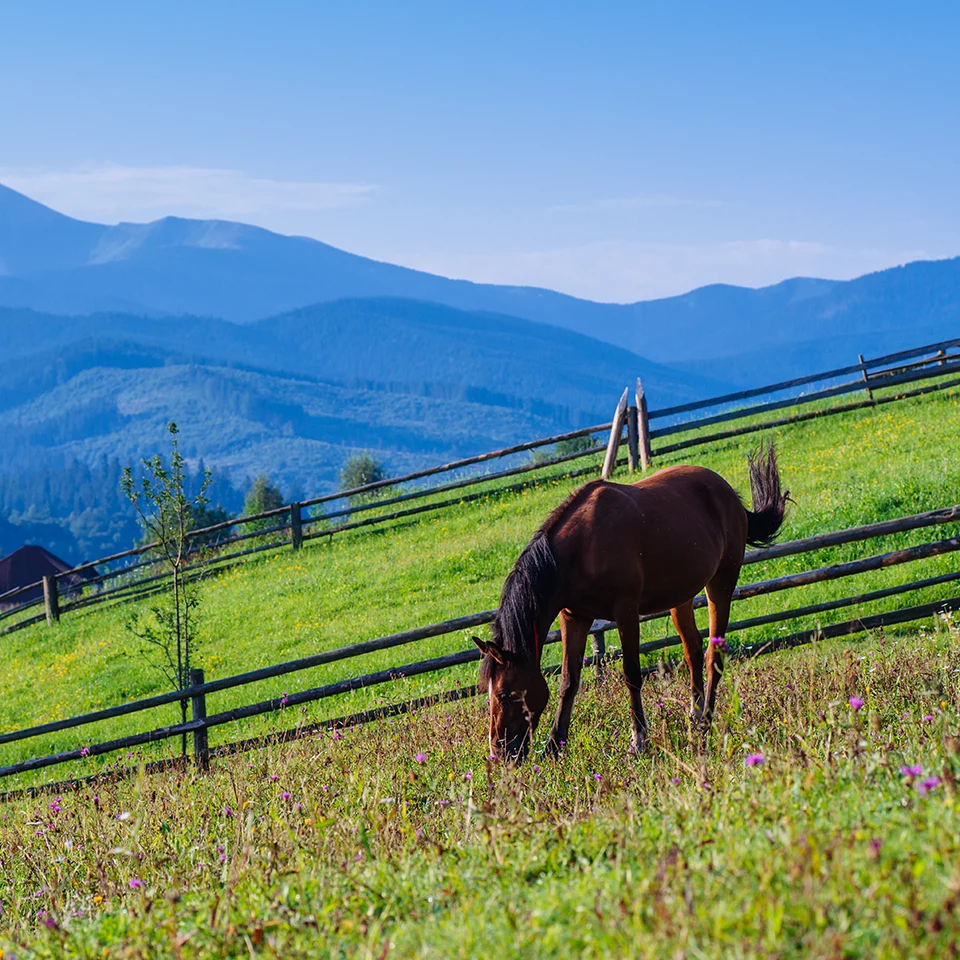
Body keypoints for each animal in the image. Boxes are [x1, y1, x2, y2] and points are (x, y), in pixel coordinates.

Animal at [473, 443, 789, 763]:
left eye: (504, 694)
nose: (499, 753)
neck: (578, 551)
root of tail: (729, 494)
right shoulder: (574, 617)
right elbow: (568, 680)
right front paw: (554, 746)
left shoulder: (626, 611)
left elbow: (631, 674)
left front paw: (638, 740)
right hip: (681, 598)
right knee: (693, 652)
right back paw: (695, 718)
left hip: (722, 583)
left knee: (714, 656)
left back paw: (705, 726)